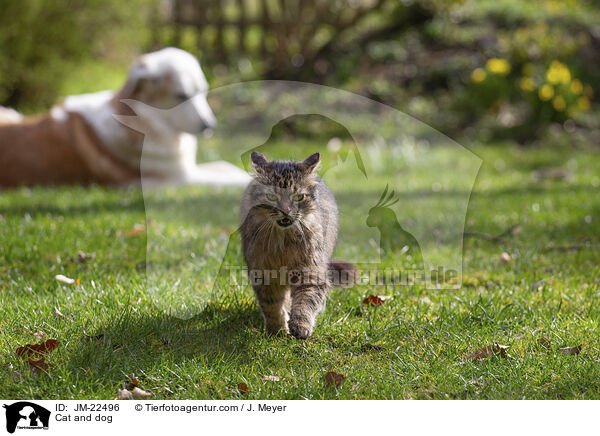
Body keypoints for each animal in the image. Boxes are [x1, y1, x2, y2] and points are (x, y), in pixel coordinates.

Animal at [0, 47, 251, 187]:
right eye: (181, 95)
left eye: (204, 91)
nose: (210, 125)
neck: (148, 122)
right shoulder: (177, 180)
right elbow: (231, 179)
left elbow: (228, 167)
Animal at [239, 152, 352, 338]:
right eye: (272, 197)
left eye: (298, 197)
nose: (286, 211)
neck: (283, 244)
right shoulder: (263, 273)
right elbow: (272, 306)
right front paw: (277, 330)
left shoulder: (311, 272)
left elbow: (305, 303)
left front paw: (300, 327)